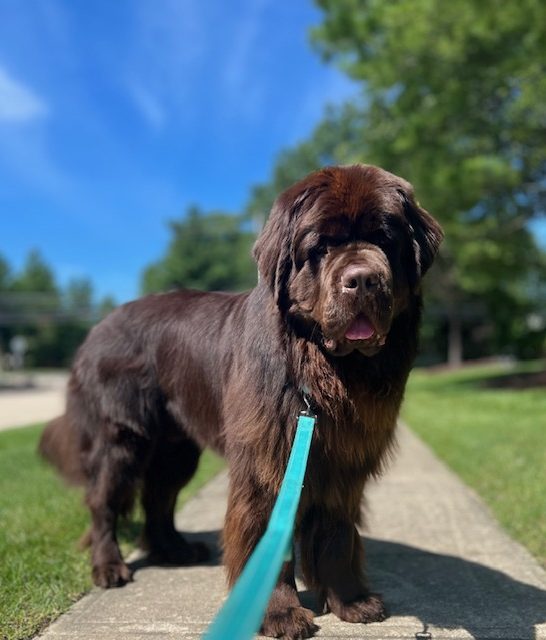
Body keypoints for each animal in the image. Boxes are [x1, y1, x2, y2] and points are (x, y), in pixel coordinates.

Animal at [41, 162, 442, 636]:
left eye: (385, 240)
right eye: (322, 246)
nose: (362, 279)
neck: (325, 370)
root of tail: (97, 328)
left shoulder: (344, 463)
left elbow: (337, 534)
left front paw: (351, 600)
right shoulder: (267, 460)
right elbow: (265, 538)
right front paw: (279, 613)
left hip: (176, 449)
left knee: (159, 496)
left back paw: (175, 550)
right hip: (123, 436)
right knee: (104, 501)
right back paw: (109, 566)